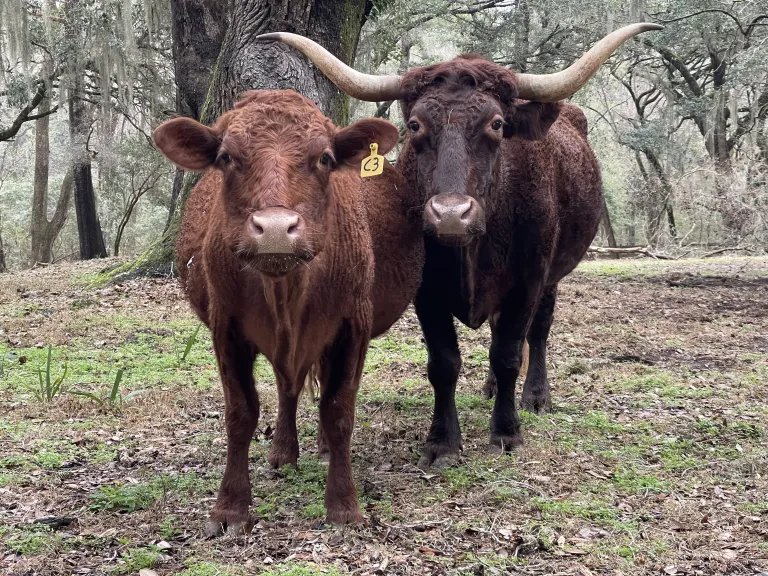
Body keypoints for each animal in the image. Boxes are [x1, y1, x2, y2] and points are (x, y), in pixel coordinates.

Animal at [152, 90, 424, 534]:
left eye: (326, 158)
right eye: (226, 157)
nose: (276, 229)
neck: (286, 294)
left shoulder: (353, 327)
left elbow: (339, 411)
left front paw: (344, 506)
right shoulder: (226, 329)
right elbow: (241, 413)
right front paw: (229, 509)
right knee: (287, 387)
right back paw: (283, 452)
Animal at [258, 23, 662, 467]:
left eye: (498, 124)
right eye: (415, 125)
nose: (451, 215)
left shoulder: (528, 280)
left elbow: (508, 353)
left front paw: (506, 431)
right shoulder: (425, 290)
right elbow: (444, 362)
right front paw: (442, 441)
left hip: (553, 277)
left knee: (536, 332)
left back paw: (535, 396)